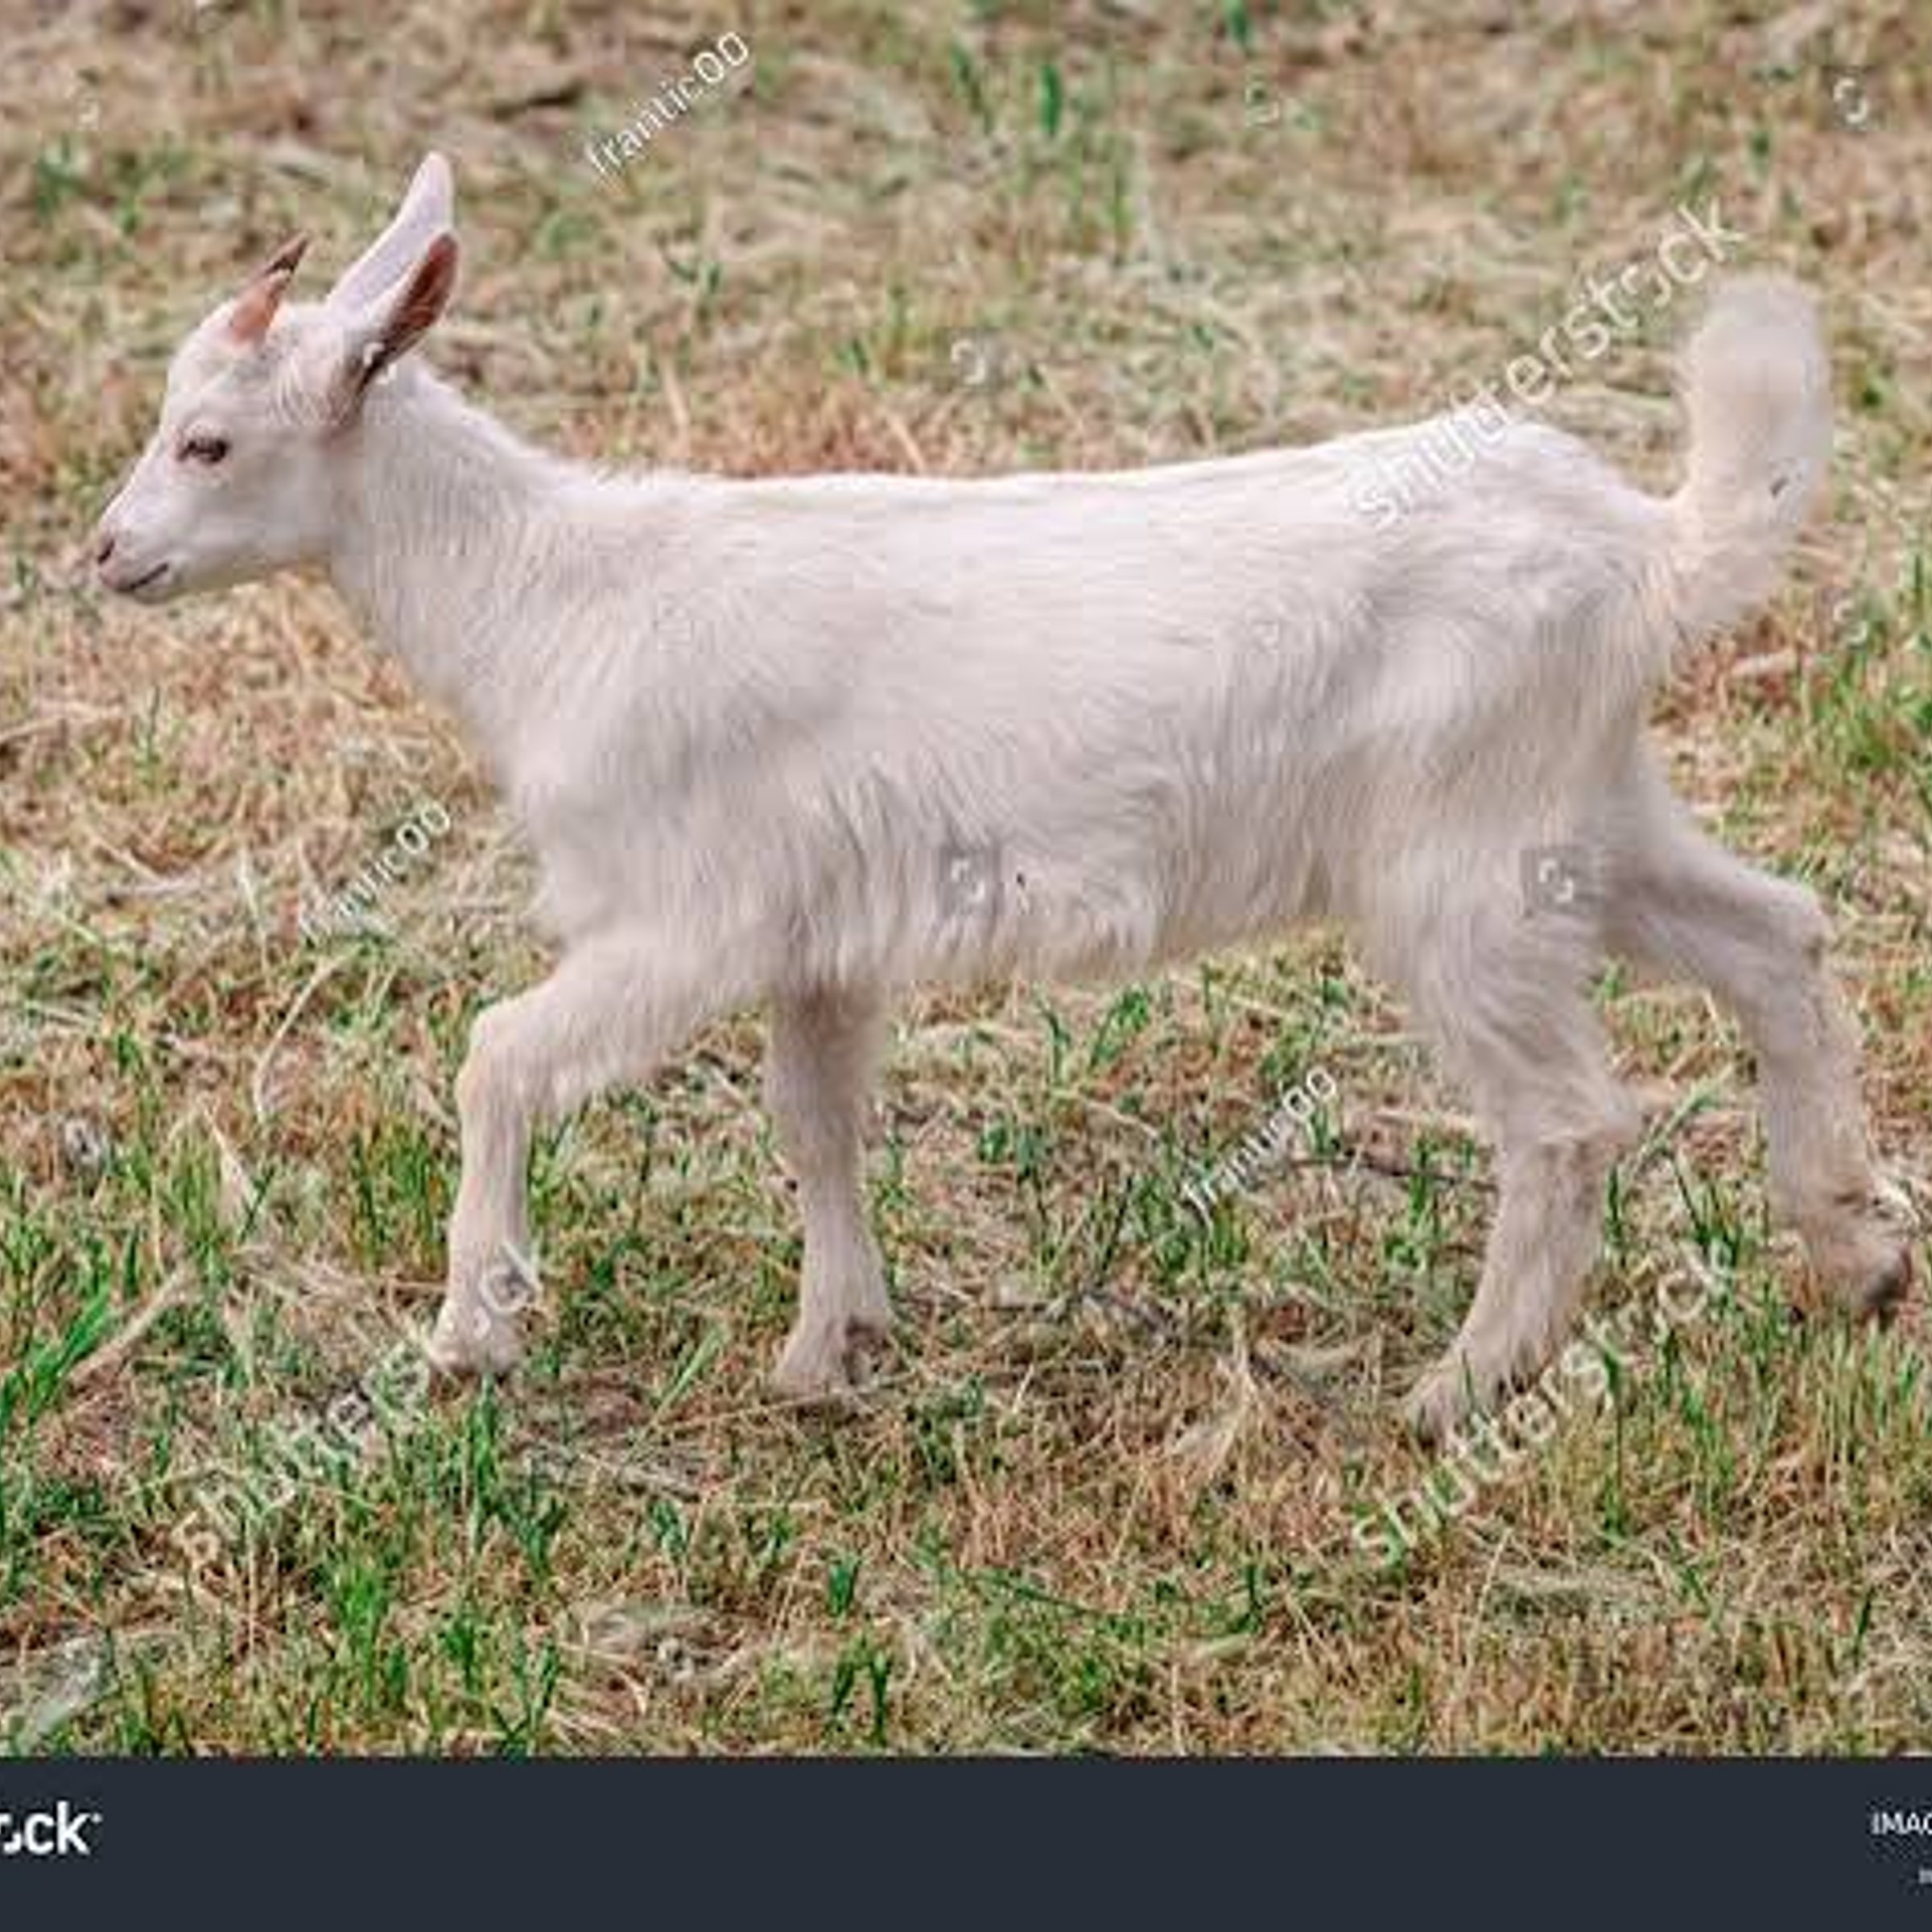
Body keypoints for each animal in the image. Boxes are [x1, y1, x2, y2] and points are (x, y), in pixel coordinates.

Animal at [93, 153, 1912, 1438]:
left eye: (207, 444)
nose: (105, 556)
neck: (552, 595)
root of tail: (1647, 545)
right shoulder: (816, 935)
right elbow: (817, 1123)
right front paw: (832, 1349)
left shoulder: (684, 918)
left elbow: (497, 1058)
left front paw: (472, 1332)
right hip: (1582, 810)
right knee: (1778, 937)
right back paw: (1857, 1257)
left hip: (1460, 863)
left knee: (1567, 1117)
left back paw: (1464, 1388)